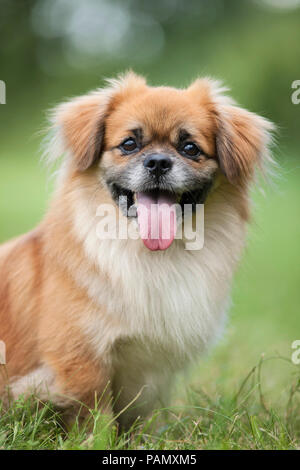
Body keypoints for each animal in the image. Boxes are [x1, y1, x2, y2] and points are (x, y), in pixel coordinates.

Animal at [0, 71, 274, 428]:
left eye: (190, 148)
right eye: (129, 144)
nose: (157, 162)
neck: (151, 256)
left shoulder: (151, 372)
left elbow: (142, 418)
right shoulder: (81, 362)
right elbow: (96, 417)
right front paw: (97, 436)